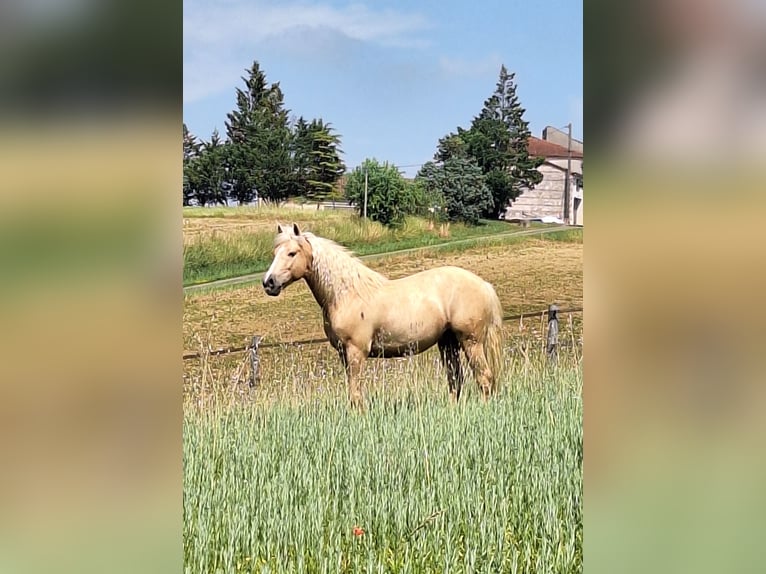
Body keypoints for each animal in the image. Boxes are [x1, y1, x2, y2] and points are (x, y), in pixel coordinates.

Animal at [260, 225, 508, 410]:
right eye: (275, 253)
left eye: (292, 253)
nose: (269, 283)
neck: (347, 293)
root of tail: (484, 285)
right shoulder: (343, 354)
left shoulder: (356, 351)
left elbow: (355, 394)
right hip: (448, 343)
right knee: (456, 380)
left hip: (471, 341)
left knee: (484, 377)